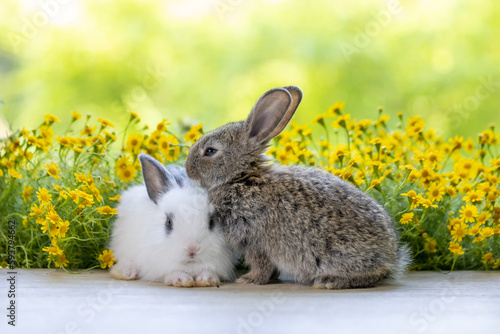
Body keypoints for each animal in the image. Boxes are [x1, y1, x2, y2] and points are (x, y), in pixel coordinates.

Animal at [109, 154, 234, 288]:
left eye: (211, 222)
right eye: (169, 222)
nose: (192, 249)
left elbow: (208, 272)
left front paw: (207, 280)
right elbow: (172, 272)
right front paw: (182, 280)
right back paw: (125, 272)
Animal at [185, 87, 410, 290]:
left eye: (210, 151)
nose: (188, 168)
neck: (242, 178)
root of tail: (392, 256)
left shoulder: (256, 240)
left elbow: (261, 264)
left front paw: (249, 279)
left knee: (375, 274)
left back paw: (330, 281)